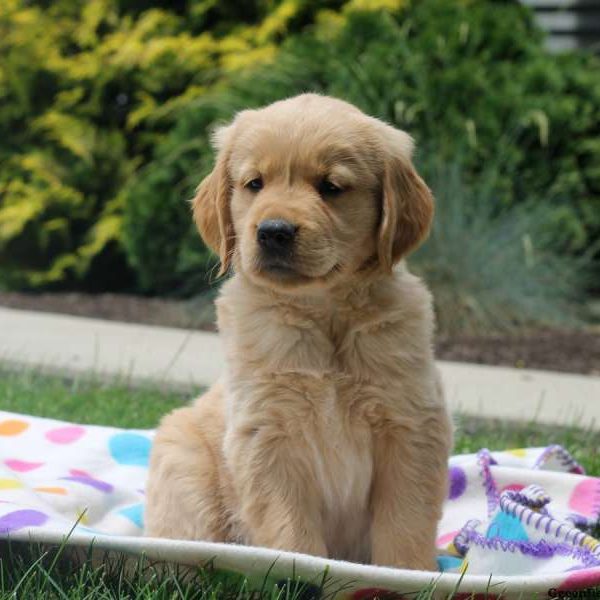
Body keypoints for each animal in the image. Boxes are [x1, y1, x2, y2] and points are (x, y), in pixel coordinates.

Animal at [145, 94, 450, 572]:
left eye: (331, 186)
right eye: (254, 183)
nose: (274, 231)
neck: (323, 314)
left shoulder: (411, 425)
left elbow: (405, 523)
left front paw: (410, 575)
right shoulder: (268, 435)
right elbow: (292, 532)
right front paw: (301, 572)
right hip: (183, 465)